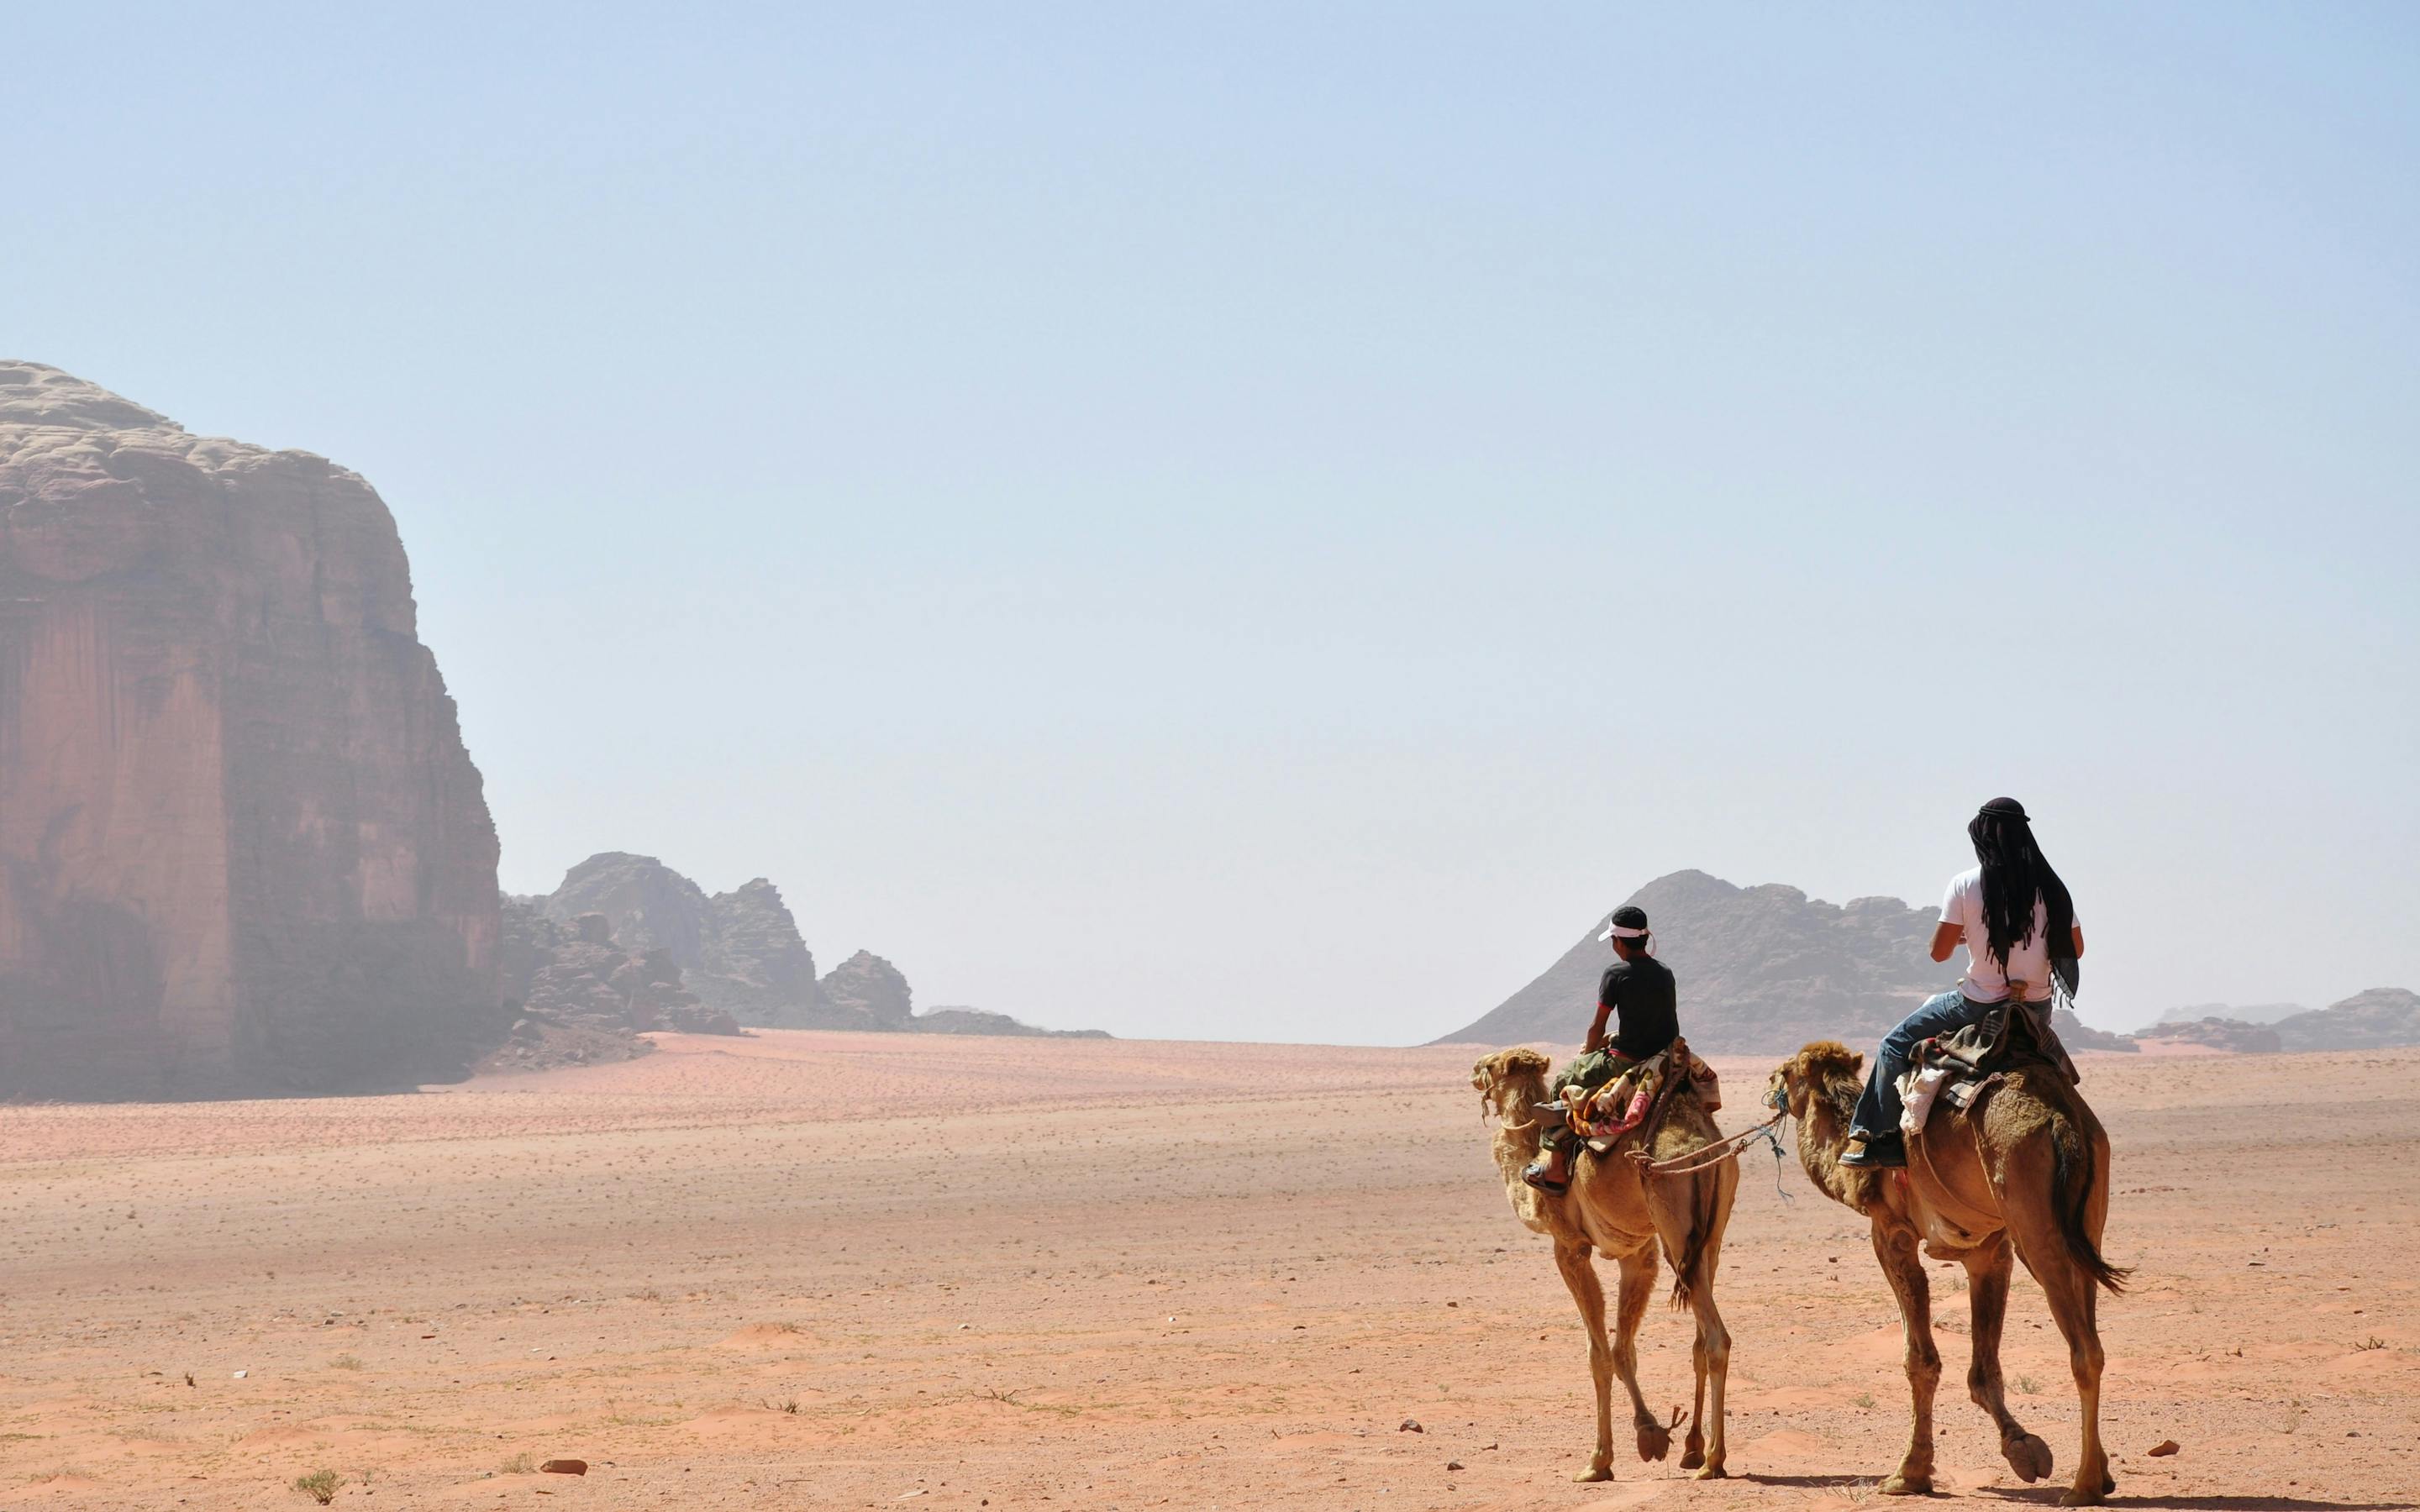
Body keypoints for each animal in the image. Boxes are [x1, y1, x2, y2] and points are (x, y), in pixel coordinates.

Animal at [1471, 1047, 1740, 1481]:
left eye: (1491, 1065)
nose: (1474, 1071)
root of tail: (1704, 1148)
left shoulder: (1570, 1246)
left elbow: (1598, 1354)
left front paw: (1599, 1461)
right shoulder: (1638, 1253)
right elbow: (1622, 1349)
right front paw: (1651, 1435)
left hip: (1675, 1228)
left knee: (1716, 1339)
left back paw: (1713, 1461)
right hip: (1708, 1239)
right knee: (1700, 1339)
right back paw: (1694, 1448)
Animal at [1765, 1039, 2129, 1506]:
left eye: (1786, 1072)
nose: (1769, 1085)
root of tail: (2062, 1119)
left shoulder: (1891, 1233)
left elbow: (1919, 1360)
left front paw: (1908, 1474)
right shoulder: (1987, 1250)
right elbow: (1983, 1369)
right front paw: (2023, 1449)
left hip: (2033, 1220)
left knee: (2084, 1350)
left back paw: (2083, 1487)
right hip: (2086, 1218)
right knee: (2093, 1334)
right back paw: (2099, 1474)